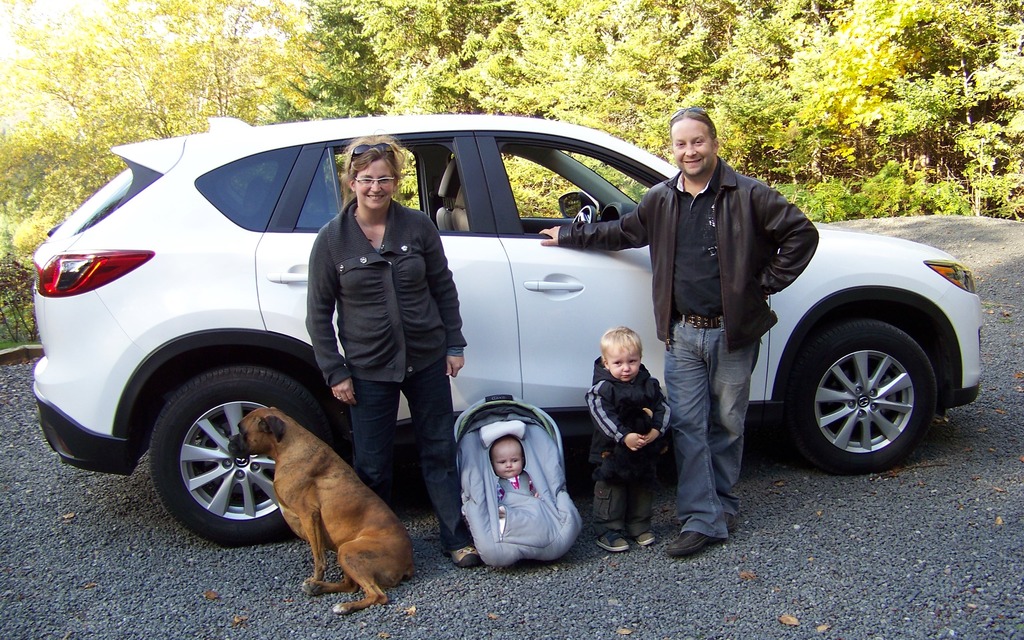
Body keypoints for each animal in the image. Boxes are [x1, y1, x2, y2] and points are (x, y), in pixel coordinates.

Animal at [228, 407, 411, 610]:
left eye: (242, 431)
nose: (229, 440)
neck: (288, 446)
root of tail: (408, 562)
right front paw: (316, 581)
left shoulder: (309, 515)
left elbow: (318, 558)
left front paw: (316, 576)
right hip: (344, 553)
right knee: (352, 586)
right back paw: (318, 588)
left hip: (348, 551)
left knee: (377, 595)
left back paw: (344, 606)